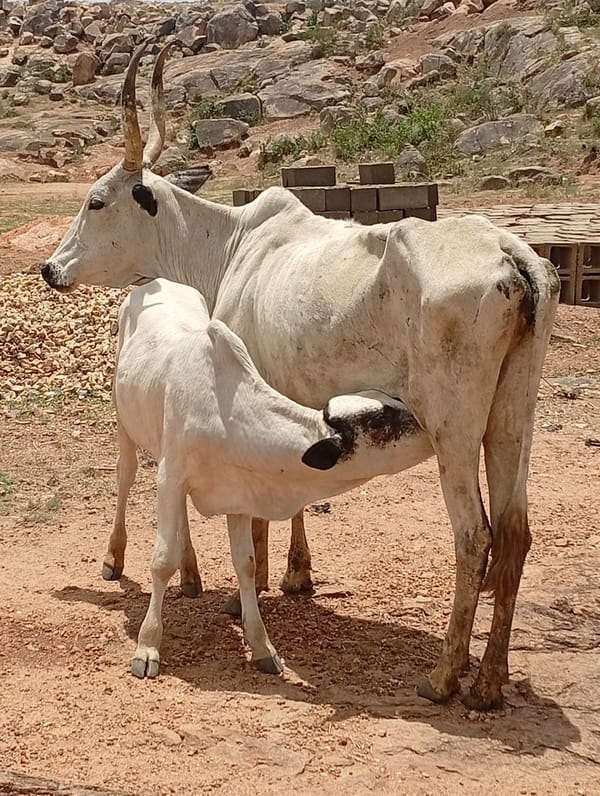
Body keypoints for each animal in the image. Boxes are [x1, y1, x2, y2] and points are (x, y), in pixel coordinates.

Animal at [113, 278, 432, 678]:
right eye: (379, 422)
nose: (428, 425)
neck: (226, 413)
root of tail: (155, 281)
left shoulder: (236, 494)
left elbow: (246, 565)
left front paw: (262, 645)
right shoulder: (169, 477)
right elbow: (161, 560)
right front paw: (148, 645)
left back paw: (191, 573)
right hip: (124, 423)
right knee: (125, 478)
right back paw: (114, 558)